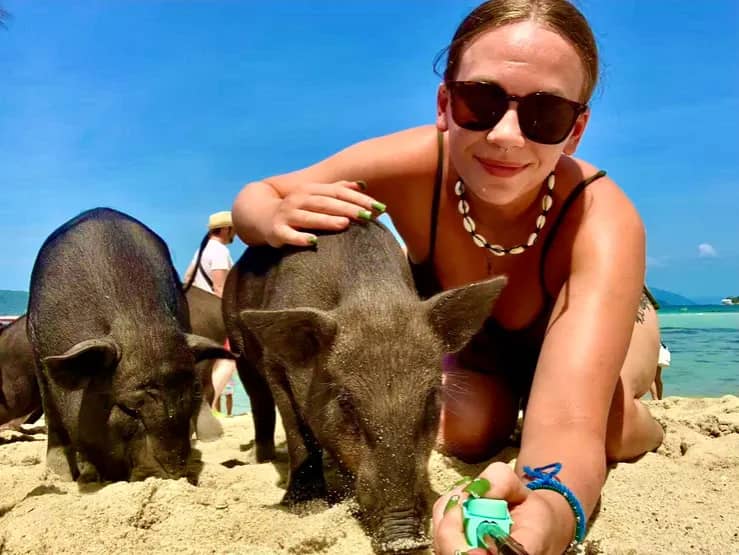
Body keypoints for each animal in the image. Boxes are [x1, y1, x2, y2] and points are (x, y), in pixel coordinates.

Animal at [27, 207, 232, 482]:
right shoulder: (38, 352)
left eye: (188, 397)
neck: (139, 324)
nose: (174, 474)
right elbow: (54, 418)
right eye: (129, 408)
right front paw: (63, 476)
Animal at [222, 221, 505, 553]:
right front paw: (308, 507)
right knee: (259, 403)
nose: (405, 542)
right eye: (346, 403)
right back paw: (262, 458)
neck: (372, 298)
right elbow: (298, 433)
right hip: (237, 347)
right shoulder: (273, 365)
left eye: (431, 398)